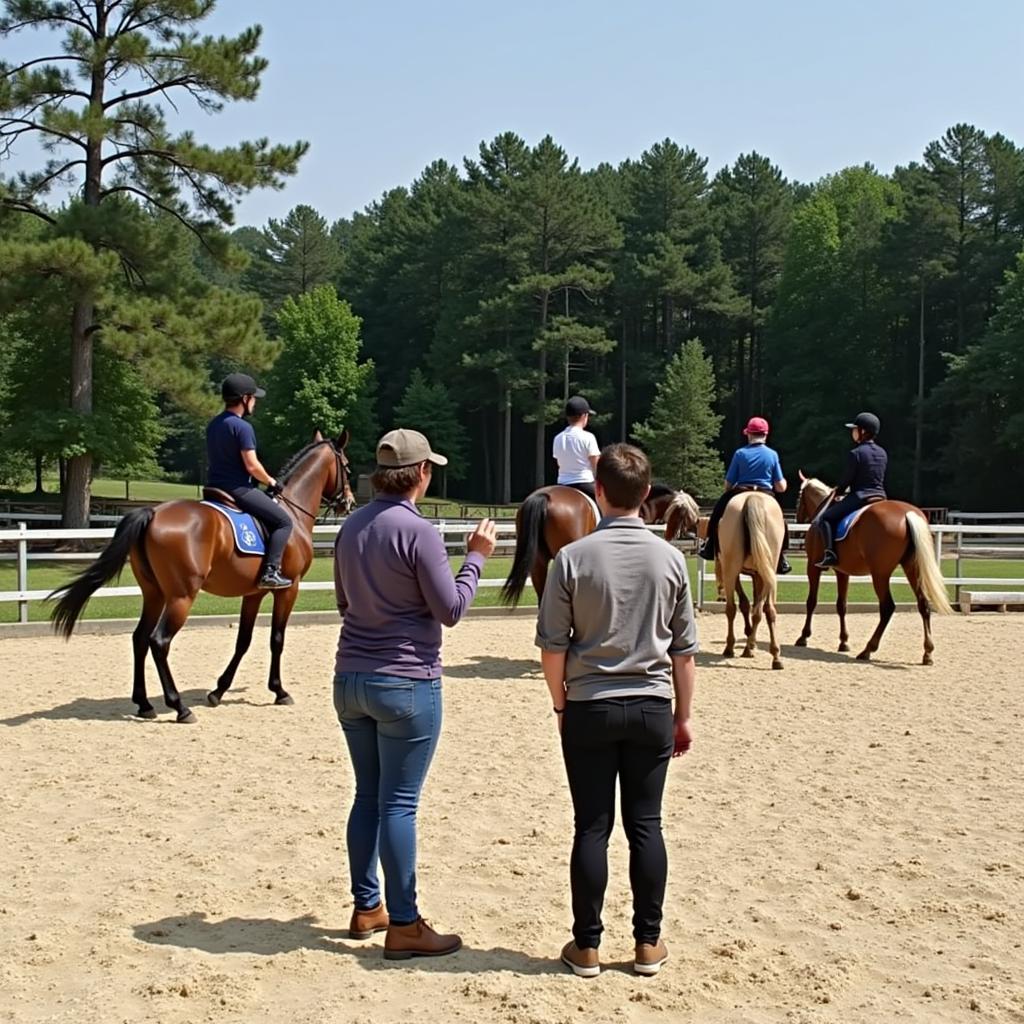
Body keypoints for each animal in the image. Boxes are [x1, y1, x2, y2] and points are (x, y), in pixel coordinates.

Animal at [51, 430, 356, 720]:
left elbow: (243, 641)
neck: (291, 510)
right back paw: (179, 707)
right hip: (181, 597)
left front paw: (218, 691)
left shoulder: (253, 593)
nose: (349, 503)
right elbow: (277, 639)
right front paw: (279, 691)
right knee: (158, 641)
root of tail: (153, 512)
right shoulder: (288, 590)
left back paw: (145, 704)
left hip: (154, 594)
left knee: (140, 639)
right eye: (347, 467)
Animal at [712, 489, 782, 667]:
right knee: (766, 609)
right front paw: (751, 641)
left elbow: (744, 604)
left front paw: (749, 639)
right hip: (767, 569)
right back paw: (774, 655)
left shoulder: (735, 573)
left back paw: (731, 647)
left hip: (731, 570)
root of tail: (752, 496)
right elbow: (753, 606)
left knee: (731, 608)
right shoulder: (757, 574)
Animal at [790, 471, 950, 663]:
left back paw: (868, 650)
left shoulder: (812, 567)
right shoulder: (842, 572)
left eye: (799, 497)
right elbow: (841, 605)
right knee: (923, 604)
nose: (797, 523)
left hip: (880, 574)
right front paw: (843, 642)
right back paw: (927, 653)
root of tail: (907, 514)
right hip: (912, 568)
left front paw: (803, 637)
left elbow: (811, 602)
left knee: (887, 607)